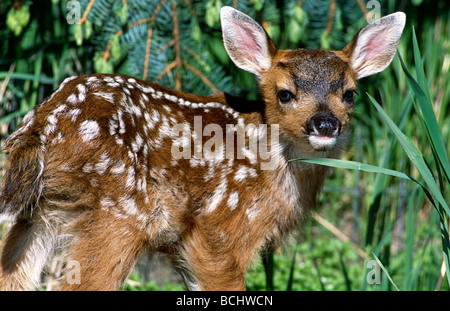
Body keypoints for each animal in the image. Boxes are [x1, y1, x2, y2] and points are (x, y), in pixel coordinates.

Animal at [0, 6, 406, 292]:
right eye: (284, 93)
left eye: (349, 93)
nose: (325, 124)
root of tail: (43, 123)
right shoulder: (220, 229)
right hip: (120, 212)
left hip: (40, 212)